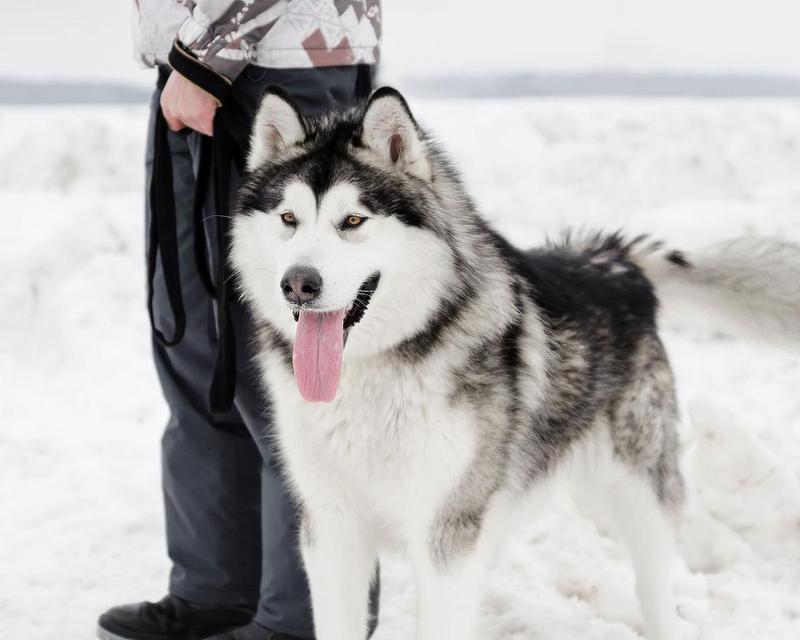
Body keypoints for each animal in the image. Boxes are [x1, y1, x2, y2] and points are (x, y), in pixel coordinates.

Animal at [228, 86, 800, 640]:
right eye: (288, 219)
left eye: (352, 221)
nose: (299, 284)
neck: (372, 376)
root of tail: (614, 262)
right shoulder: (333, 530)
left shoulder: (446, 534)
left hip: (638, 493)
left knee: (657, 588)